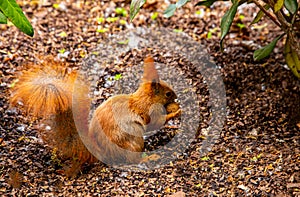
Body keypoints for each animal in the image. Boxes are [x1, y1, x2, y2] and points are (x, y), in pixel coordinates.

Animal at [10, 55, 180, 174]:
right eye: (167, 94)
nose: (176, 96)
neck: (145, 98)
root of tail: (100, 152)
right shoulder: (149, 111)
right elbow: (156, 123)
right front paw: (175, 112)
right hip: (133, 138)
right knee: (133, 160)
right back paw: (150, 157)